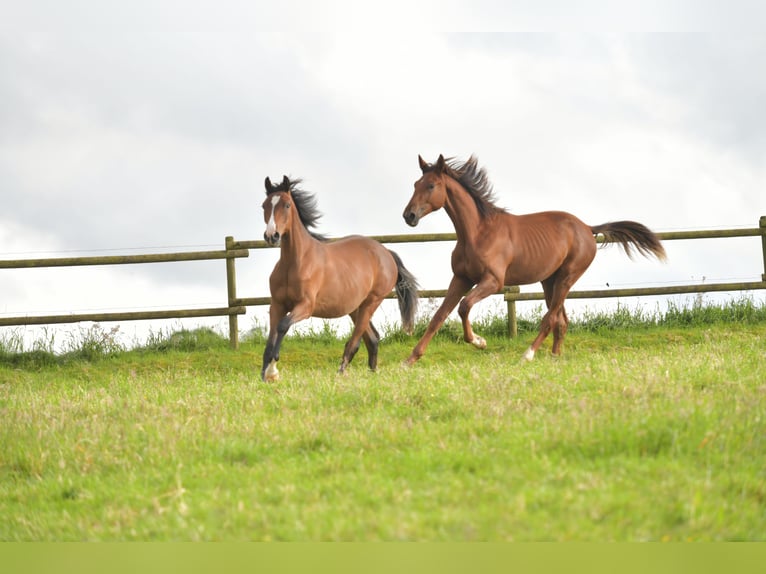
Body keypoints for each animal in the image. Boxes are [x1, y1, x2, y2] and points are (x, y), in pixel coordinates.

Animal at [262, 176, 420, 382]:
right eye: (264, 205)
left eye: (287, 205)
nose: (271, 235)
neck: (295, 262)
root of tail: (386, 253)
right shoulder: (277, 305)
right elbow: (270, 340)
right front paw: (264, 375)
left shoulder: (306, 306)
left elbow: (282, 326)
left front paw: (273, 371)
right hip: (355, 308)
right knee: (373, 339)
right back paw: (372, 374)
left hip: (371, 302)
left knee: (355, 342)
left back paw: (341, 373)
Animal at [402, 154, 664, 364]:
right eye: (415, 184)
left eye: (431, 185)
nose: (409, 216)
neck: (477, 233)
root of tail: (587, 228)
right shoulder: (461, 278)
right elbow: (439, 316)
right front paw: (411, 359)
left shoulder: (493, 282)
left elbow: (464, 306)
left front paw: (479, 341)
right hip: (549, 281)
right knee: (561, 320)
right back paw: (555, 356)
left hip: (567, 278)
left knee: (550, 319)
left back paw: (527, 355)